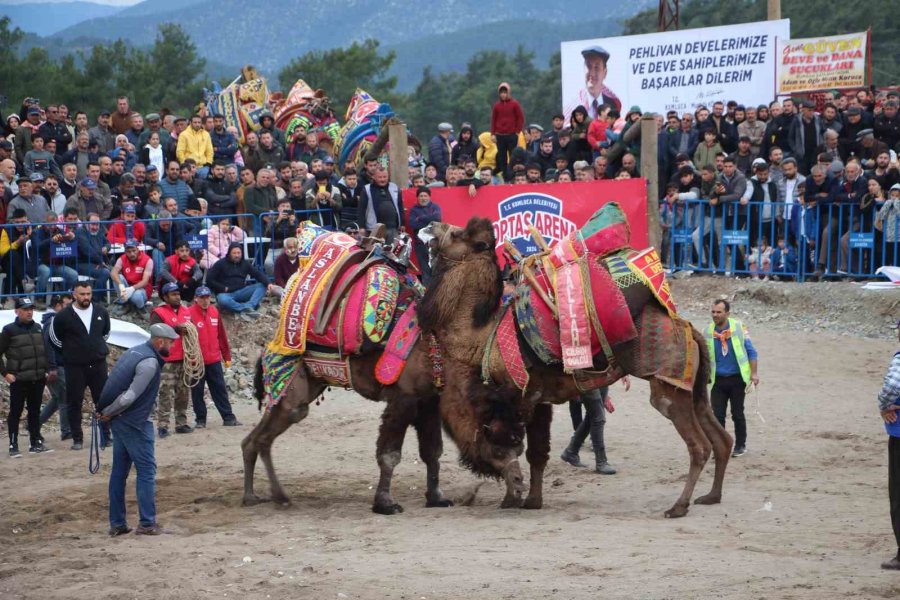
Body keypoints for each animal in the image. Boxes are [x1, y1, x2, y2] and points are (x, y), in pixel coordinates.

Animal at [418, 218, 736, 516]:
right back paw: (712, 496)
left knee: (699, 446)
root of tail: (689, 328)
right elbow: (536, 453)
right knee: (722, 438)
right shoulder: (537, 398)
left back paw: (678, 507)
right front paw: (532, 501)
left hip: (668, 384)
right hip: (693, 388)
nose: (431, 224)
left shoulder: (515, 398)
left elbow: (507, 446)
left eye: (456, 233)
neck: (482, 338)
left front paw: (513, 498)